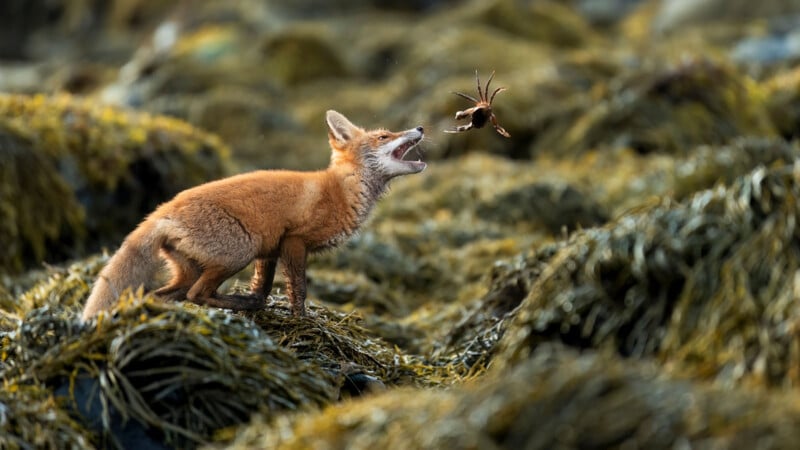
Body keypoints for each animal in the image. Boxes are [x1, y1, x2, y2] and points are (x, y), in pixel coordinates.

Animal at [81, 110, 426, 321]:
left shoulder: (269, 250)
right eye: (384, 136)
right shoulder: (294, 241)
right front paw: (302, 320)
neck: (340, 191)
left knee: (158, 295)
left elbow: (263, 286)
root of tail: (163, 210)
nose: (420, 128)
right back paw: (236, 304)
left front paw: (264, 304)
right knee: (197, 294)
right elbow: (298, 289)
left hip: (195, 267)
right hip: (237, 253)